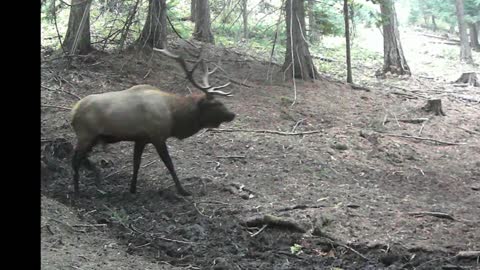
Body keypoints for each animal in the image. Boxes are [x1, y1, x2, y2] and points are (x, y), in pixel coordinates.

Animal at [70, 47, 236, 196]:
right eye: (216, 104)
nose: (232, 114)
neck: (174, 118)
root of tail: (73, 112)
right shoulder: (158, 136)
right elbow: (169, 164)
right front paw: (182, 190)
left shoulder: (141, 138)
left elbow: (136, 163)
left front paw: (132, 189)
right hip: (86, 134)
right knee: (75, 160)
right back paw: (77, 191)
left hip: (93, 138)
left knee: (82, 158)